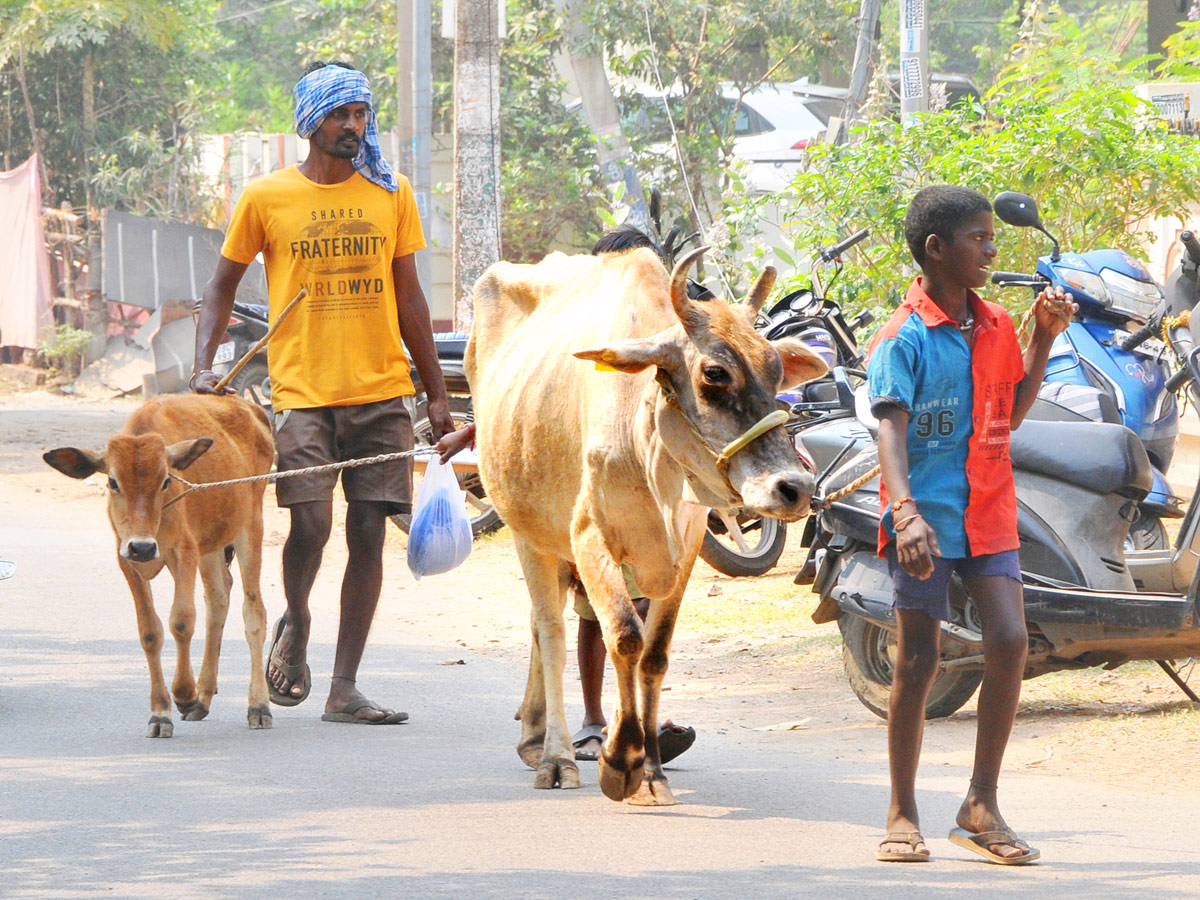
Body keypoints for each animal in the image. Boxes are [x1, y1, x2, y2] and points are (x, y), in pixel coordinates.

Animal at [43, 393, 274, 739]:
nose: (142, 546)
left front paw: (185, 694)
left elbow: (181, 621)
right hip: (211, 544)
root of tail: (250, 407)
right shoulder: (128, 560)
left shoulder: (184, 553)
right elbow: (150, 631)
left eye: (166, 480)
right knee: (218, 599)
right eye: (113, 481)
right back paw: (204, 697)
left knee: (253, 612)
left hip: (250, 526)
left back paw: (257, 705)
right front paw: (161, 712)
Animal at [470, 248, 835, 811]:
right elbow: (623, 637)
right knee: (550, 629)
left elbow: (655, 654)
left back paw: (533, 737)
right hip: (525, 528)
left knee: (541, 624)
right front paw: (620, 762)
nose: (795, 487)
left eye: (776, 370)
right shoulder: (589, 537)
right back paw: (555, 756)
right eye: (714, 373)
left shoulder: (684, 548)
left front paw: (652, 772)